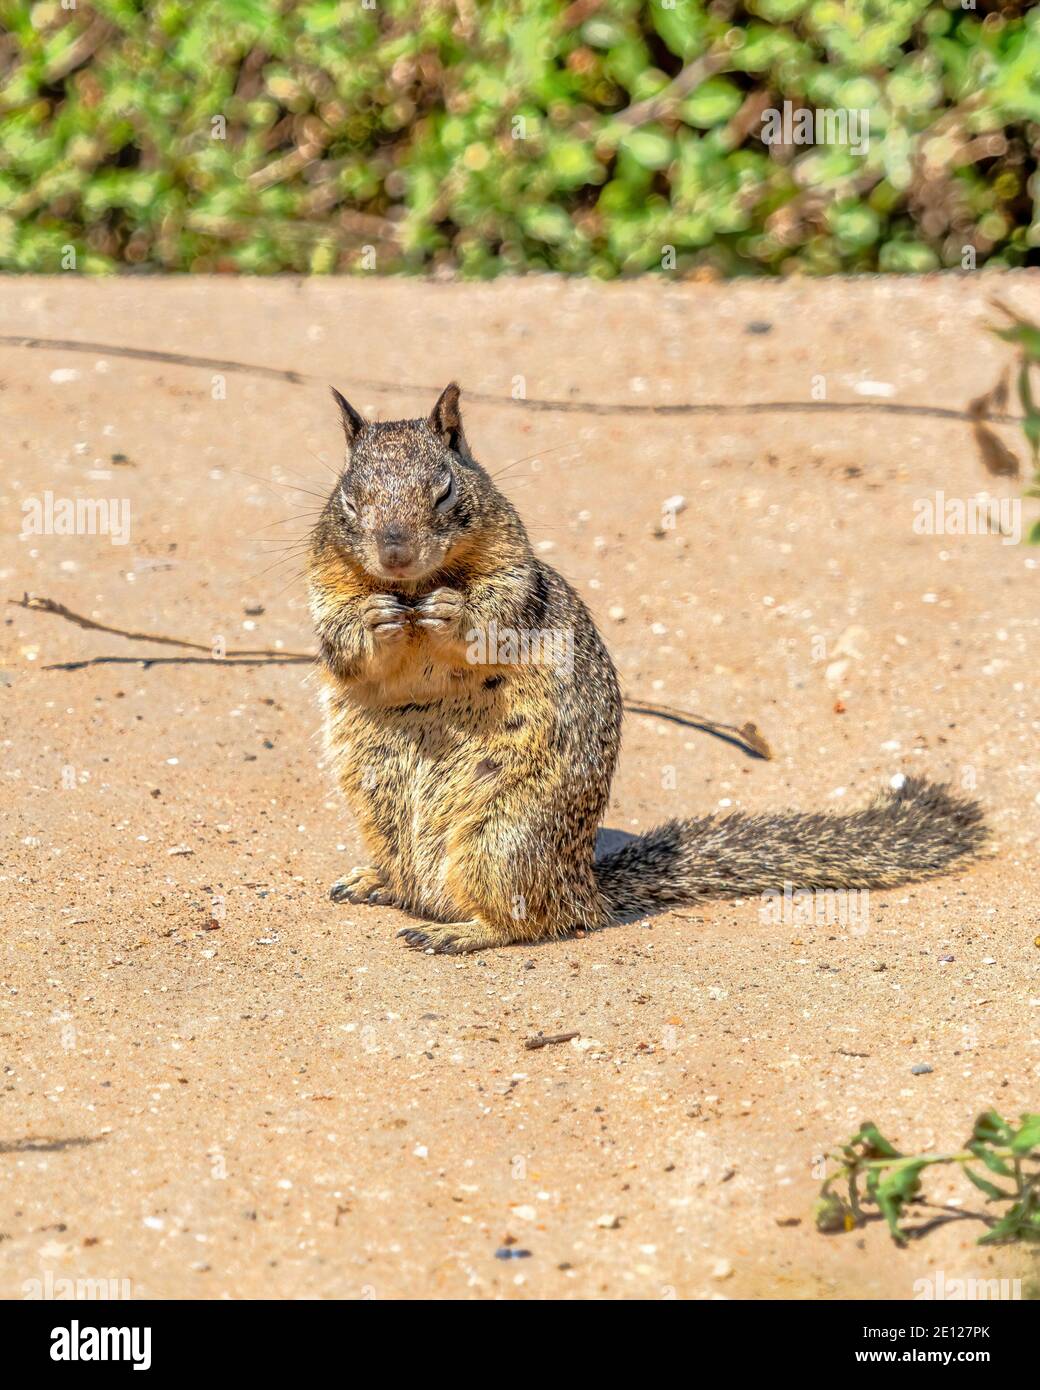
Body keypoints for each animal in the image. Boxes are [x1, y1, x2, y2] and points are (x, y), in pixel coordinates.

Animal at [308, 383, 987, 955]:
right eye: (349, 497)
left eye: (446, 489)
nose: (395, 553)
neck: (414, 591)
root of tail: (584, 887)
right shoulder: (326, 589)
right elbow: (339, 642)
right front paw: (372, 618)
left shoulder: (518, 582)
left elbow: (492, 618)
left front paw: (453, 610)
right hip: (381, 814)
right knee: (413, 878)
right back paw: (374, 880)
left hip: (501, 841)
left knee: (533, 921)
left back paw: (461, 931)